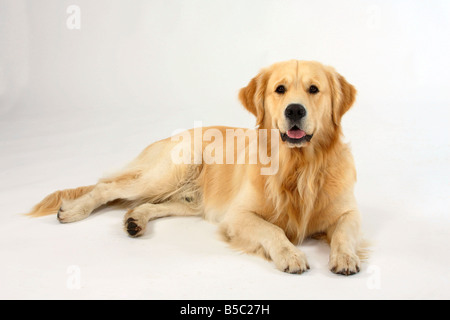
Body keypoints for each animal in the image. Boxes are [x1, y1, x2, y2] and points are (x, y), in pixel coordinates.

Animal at [27, 59, 366, 276]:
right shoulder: (237, 216)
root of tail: (175, 134)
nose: (294, 110)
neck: (300, 166)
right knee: (106, 187)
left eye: (314, 89)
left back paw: (136, 220)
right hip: (168, 173)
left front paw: (345, 257)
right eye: (280, 89)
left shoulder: (348, 211)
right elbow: (273, 229)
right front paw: (291, 254)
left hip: (191, 200)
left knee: (149, 205)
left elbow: (344, 232)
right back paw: (73, 210)